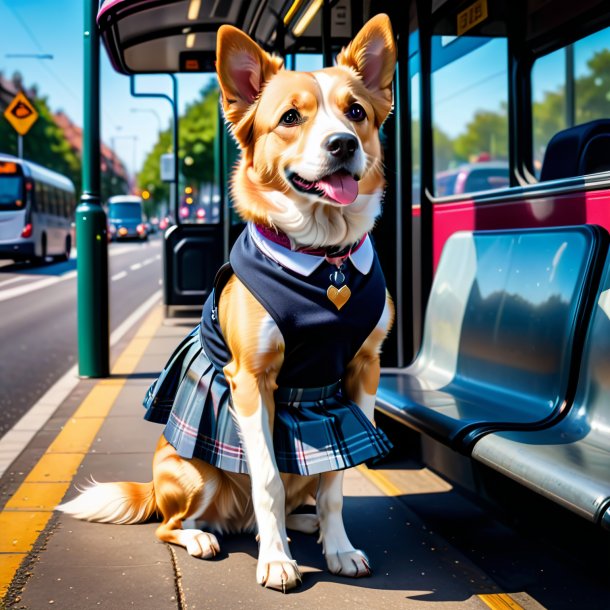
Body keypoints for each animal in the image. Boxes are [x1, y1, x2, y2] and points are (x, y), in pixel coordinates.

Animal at [59, 14, 396, 592]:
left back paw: (300, 526)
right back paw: (210, 537)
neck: (324, 260)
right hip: (191, 474)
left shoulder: (363, 371)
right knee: (172, 524)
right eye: (290, 118)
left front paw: (339, 548)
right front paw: (277, 562)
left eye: (356, 112)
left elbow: (335, 481)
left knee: (291, 501)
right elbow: (266, 478)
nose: (343, 144)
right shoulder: (250, 380)